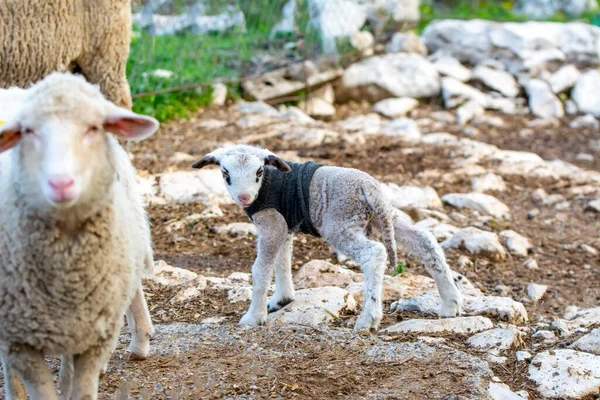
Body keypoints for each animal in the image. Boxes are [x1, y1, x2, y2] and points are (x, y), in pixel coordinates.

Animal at [192, 145, 464, 330]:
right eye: (225, 173)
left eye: (259, 171)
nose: (245, 197)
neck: (267, 183)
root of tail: (369, 187)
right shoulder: (285, 225)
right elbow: (283, 261)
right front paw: (282, 299)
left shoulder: (271, 221)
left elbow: (261, 269)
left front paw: (253, 317)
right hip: (382, 215)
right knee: (425, 241)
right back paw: (450, 304)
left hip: (340, 222)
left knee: (374, 253)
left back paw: (368, 319)